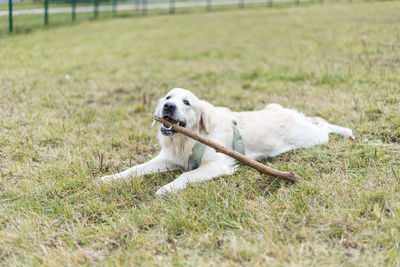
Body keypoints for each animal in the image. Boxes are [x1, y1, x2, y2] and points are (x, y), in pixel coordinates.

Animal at [101, 89, 354, 196]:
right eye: (168, 97)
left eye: (187, 102)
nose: (168, 107)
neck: (186, 139)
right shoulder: (168, 158)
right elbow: (135, 168)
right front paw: (108, 178)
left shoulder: (216, 165)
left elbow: (185, 176)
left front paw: (166, 188)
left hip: (310, 138)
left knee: (324, 126)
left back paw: (347, 131)